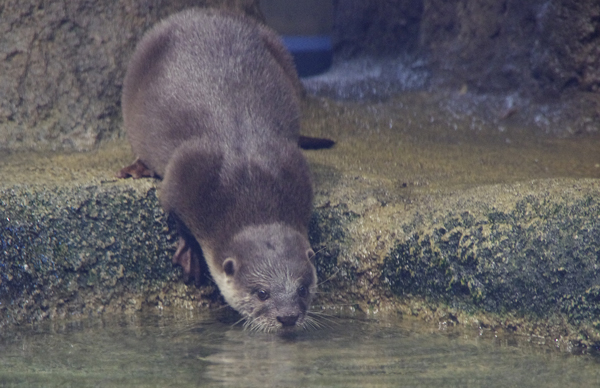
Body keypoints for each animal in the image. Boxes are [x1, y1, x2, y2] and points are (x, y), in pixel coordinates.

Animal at [115, 8, 326, 330]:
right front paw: (190, 256)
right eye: (261, 293)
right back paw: (137, 167)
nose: (288, 317)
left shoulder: (293, 168)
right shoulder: (185, 178)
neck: (249, 184)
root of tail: (200, 12)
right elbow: (177, 216)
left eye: (303, 288)